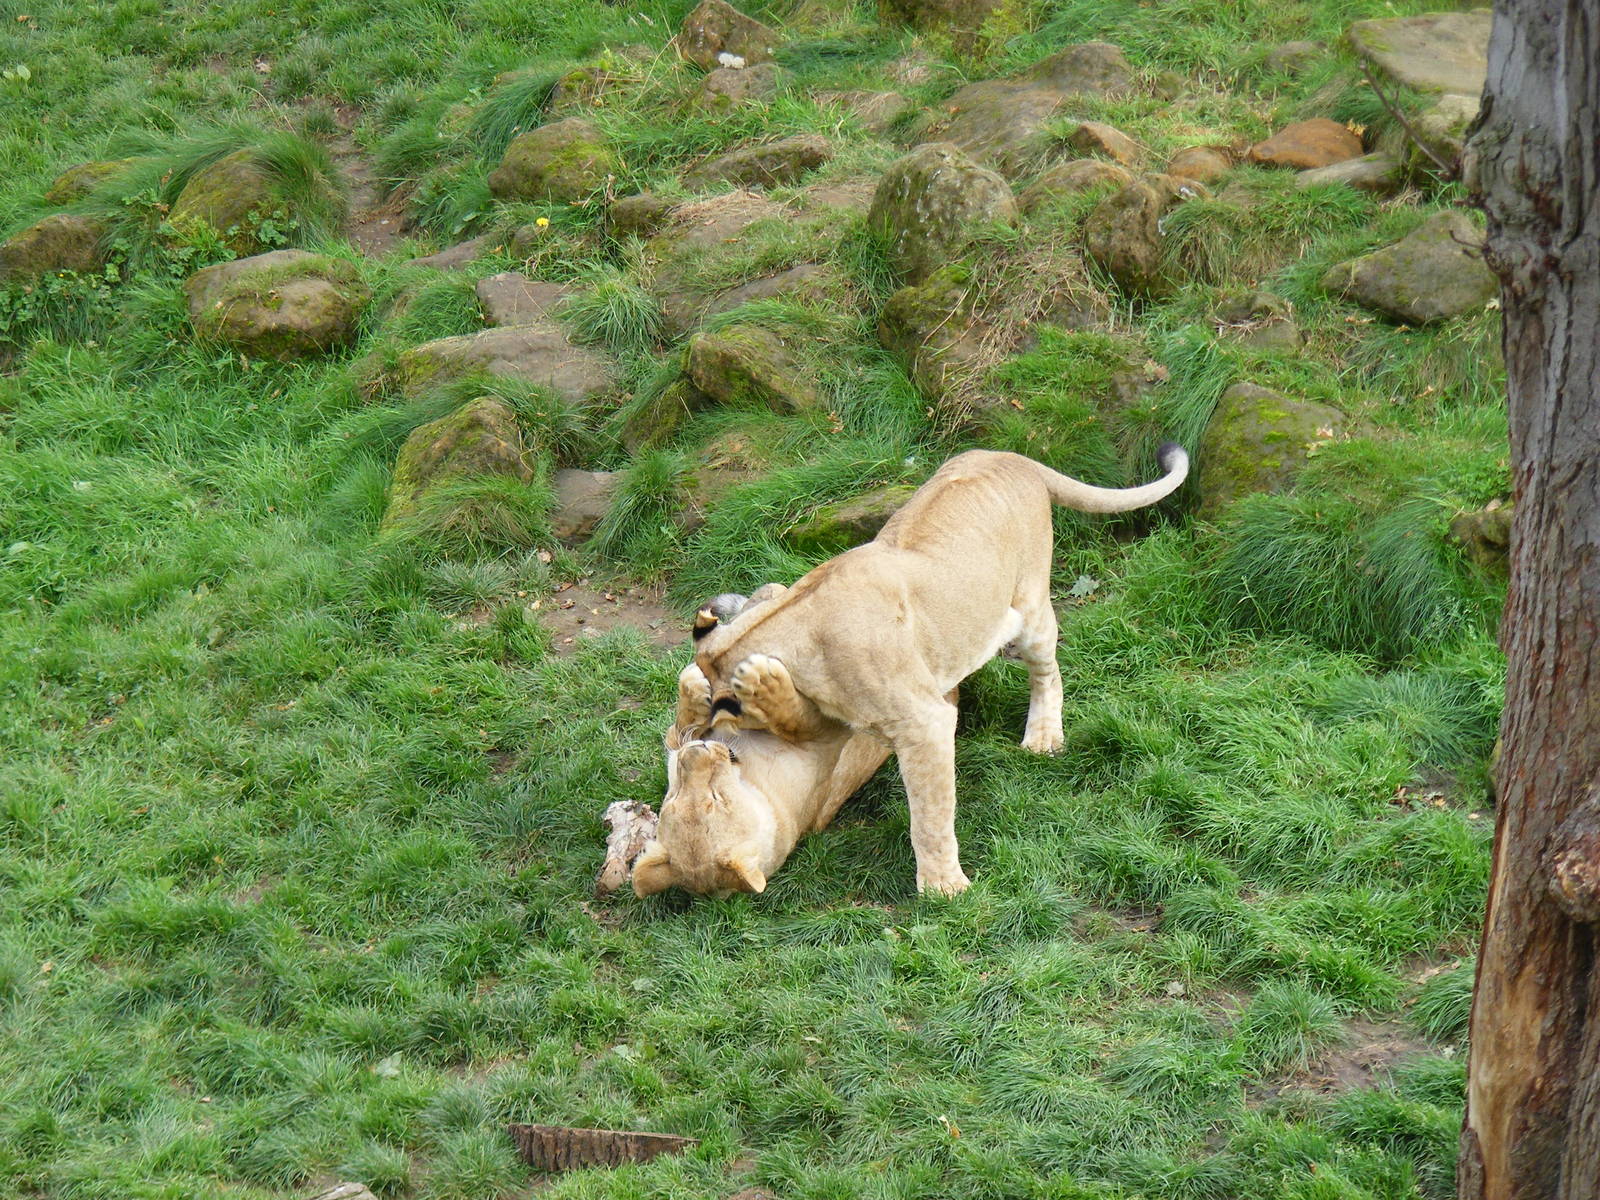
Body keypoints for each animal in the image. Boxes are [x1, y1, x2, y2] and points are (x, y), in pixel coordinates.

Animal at [633, 446, 1188, 898]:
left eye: (712, 799)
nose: (699, 745)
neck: (791, 622)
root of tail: (1011, 455)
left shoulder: (918, 724)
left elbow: (930, 810)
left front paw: (944, 887)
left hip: (1026, 614)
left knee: (1047, 673)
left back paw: (1043, 736)